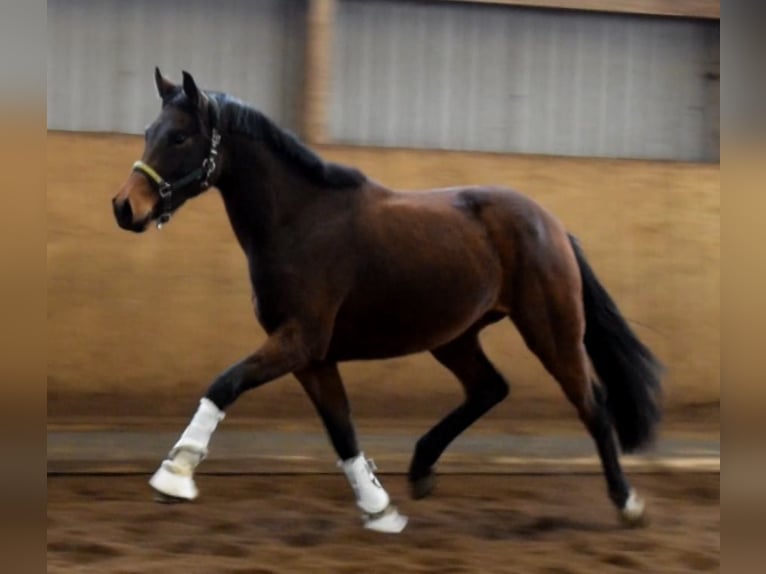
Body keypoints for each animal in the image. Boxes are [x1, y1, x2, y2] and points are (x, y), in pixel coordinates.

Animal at [111, 71, 664, 536]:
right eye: (148, 131)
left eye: (179, 137)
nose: (125, 207)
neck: (298, 221)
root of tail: (553, 226)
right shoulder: (312, 357)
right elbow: (342, 431)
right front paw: (380, 510)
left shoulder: (298, 341)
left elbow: (225, 383)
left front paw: (174, 475)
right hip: (454, 336)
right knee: (490, 388)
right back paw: (421, 470)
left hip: (551, 330)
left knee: (592, 404)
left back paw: (628, 503)